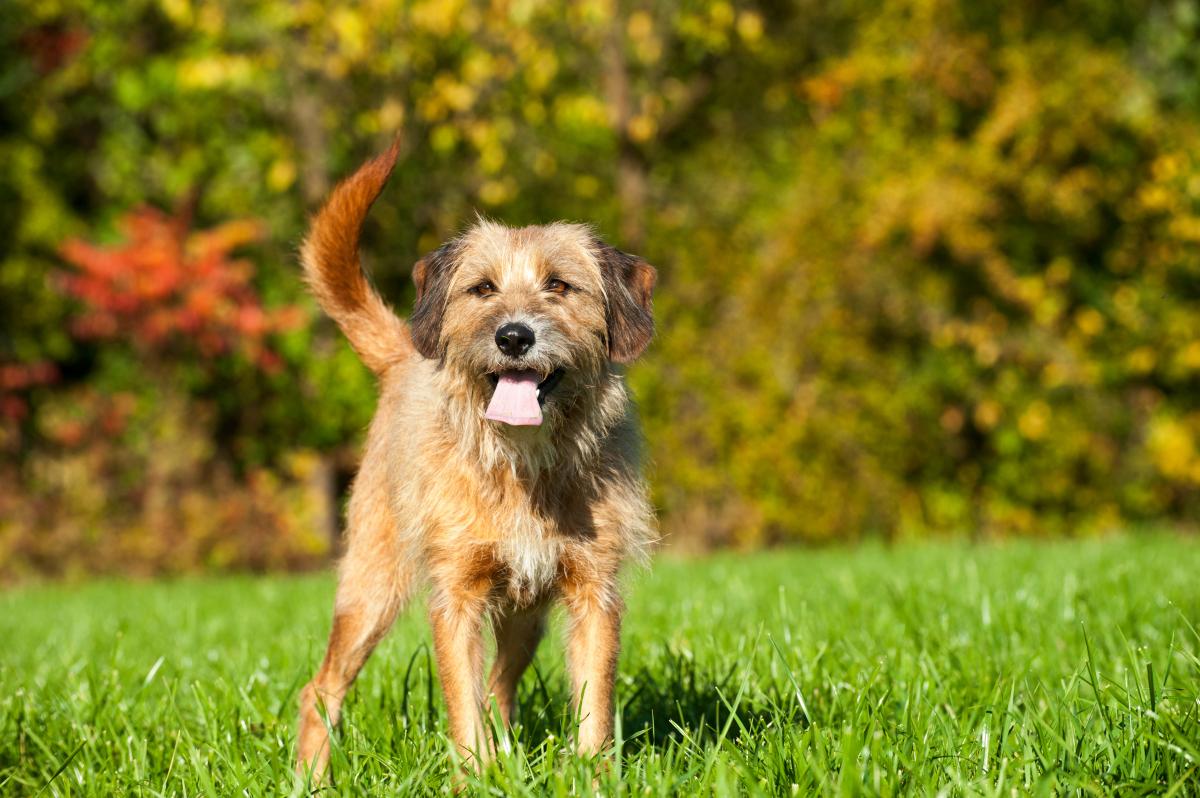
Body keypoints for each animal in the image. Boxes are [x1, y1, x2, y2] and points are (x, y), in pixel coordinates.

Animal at [296, 138, 662, 777]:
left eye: (559, 286)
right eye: (483, 289)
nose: (513, 337)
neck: (523, 466)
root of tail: (404, 356)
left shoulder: (594, 592)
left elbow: (593, 701)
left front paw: (592, 776)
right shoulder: (457, 597)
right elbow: (462, 706)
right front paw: (473, 777)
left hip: (526, 617)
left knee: (499, 686)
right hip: (370, 589)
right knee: (321, 690)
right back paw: (310, 778)